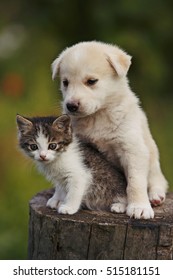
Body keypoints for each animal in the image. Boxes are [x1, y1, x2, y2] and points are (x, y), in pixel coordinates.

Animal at [51, 40, 168, 219]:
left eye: (91, 81)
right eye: (65, 82)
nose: (70, 106)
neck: (97, 117)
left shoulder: (132, 150)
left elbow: (135, 182)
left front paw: (139, 207)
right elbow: (62, 177)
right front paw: (58, 198)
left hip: (153, 158)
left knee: (158, 181)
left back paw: (155, 196)